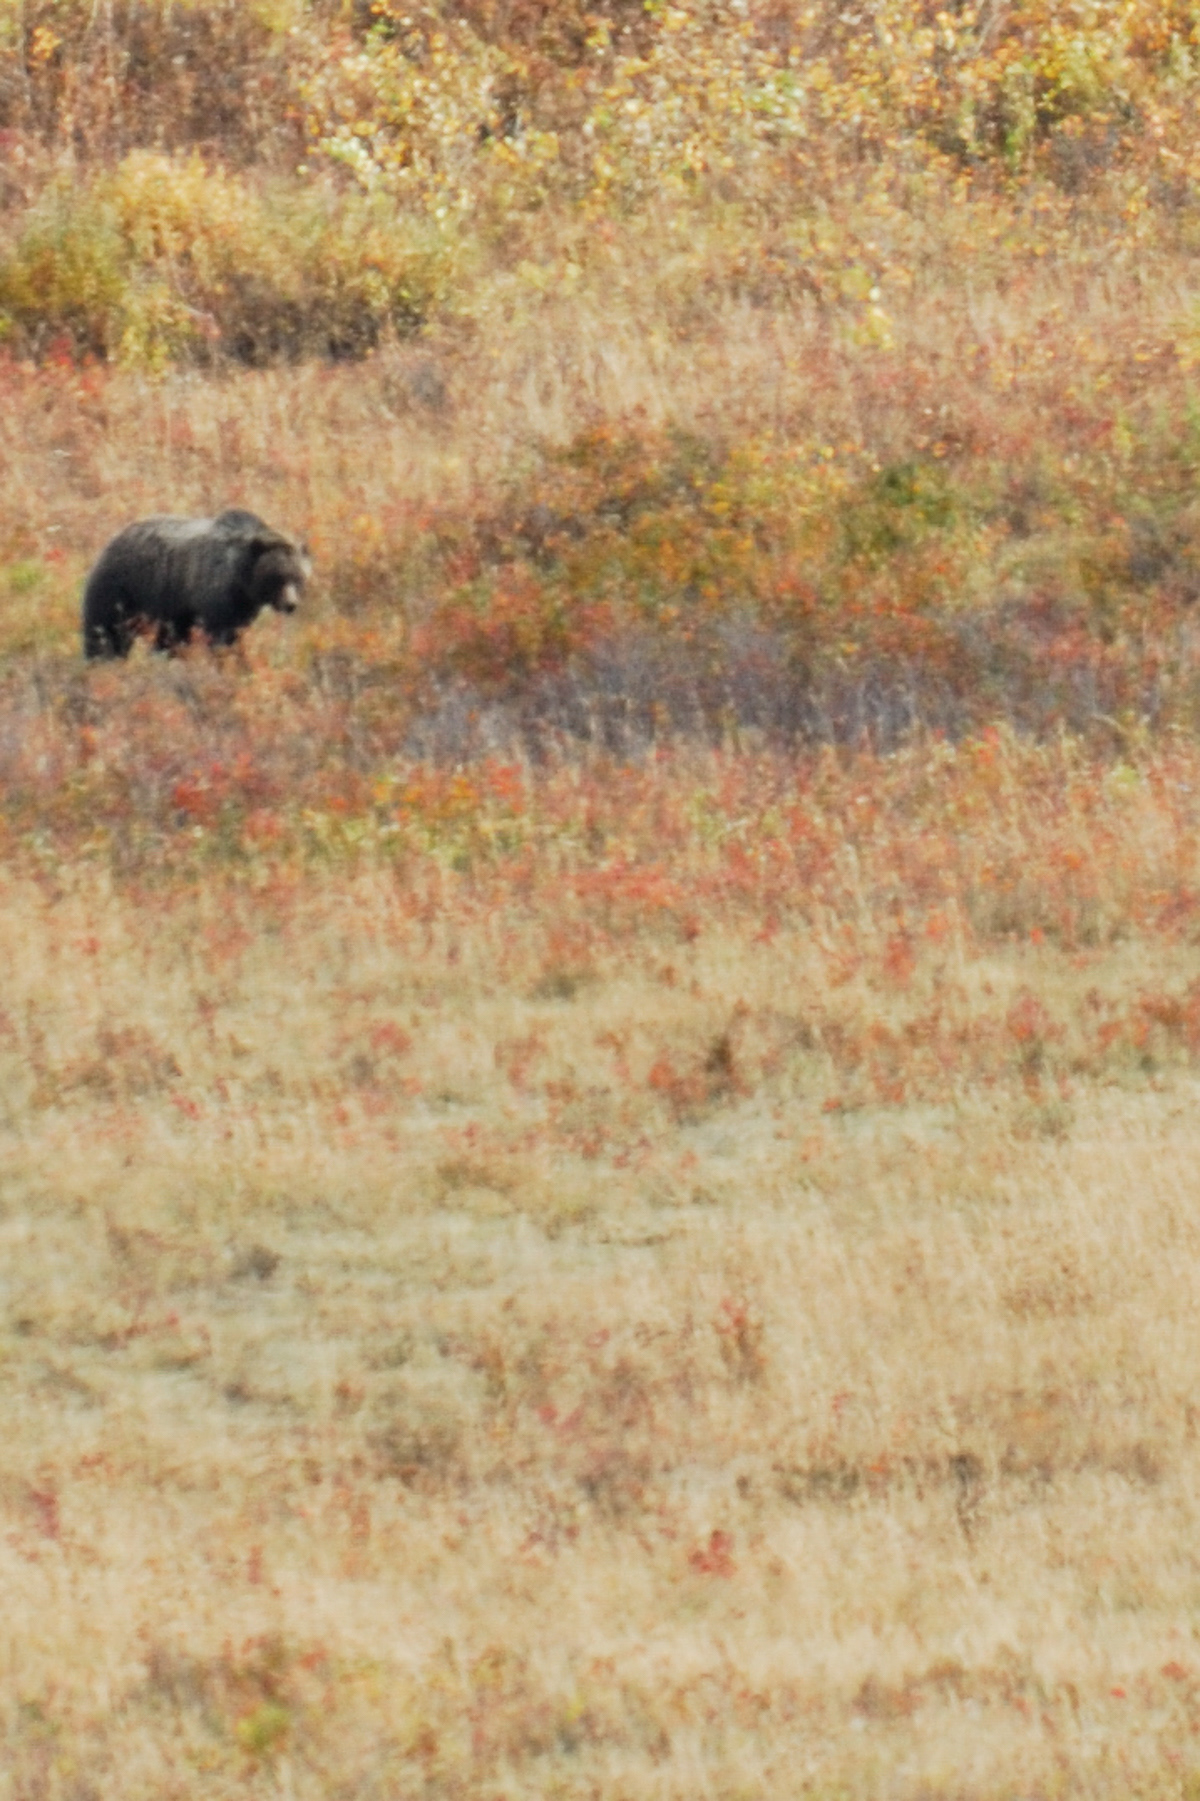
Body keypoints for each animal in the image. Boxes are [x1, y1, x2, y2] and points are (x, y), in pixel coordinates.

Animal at [82, 509, 310, 659]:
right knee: (105, 631)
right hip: (123, 589)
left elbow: (235, 632)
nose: (290, 605)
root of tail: (113, 538)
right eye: (277, 576)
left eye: (298, 578)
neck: (241, 580)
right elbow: (220, 635)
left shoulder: (242, 606)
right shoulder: (215, 594)